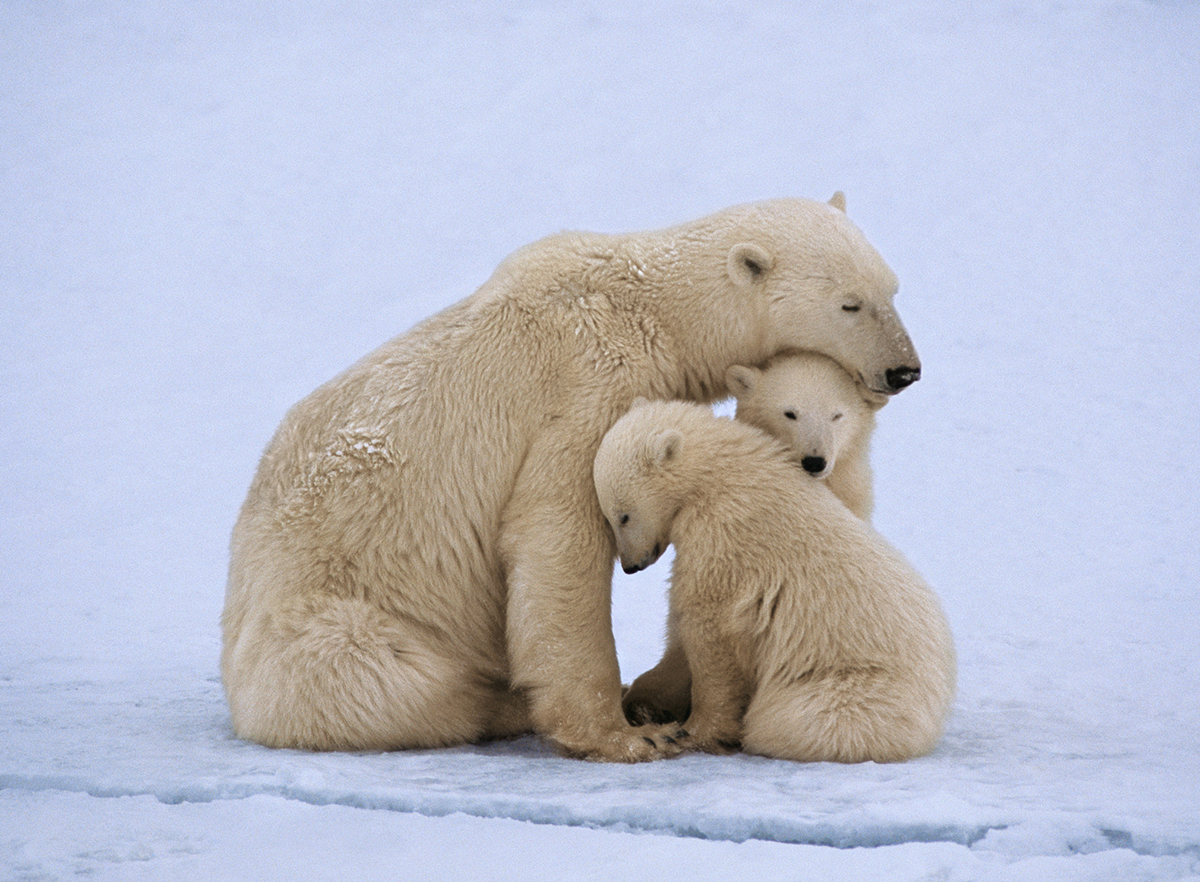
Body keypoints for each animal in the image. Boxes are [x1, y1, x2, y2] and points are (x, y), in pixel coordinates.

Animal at [596, 398, 954, 762]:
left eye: (623, 515)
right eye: (608, 516)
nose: (631, 566)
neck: (722, 474)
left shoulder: (725, 533)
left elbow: (708, 626)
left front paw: (693, 731)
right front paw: (645, 701)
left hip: (856, 687)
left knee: (789, 719)